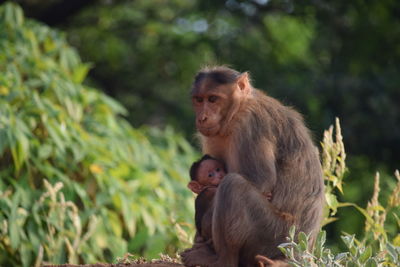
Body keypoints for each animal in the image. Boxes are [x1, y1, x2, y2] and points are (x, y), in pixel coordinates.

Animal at [181, 66, 324, 267]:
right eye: (199, 100)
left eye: (213, 99)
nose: (202, 117)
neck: (237, 110)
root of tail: (299, 254)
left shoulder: (250, 124)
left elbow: (261, 182)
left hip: (275, 237)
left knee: (232, 185)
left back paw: (222, 260)